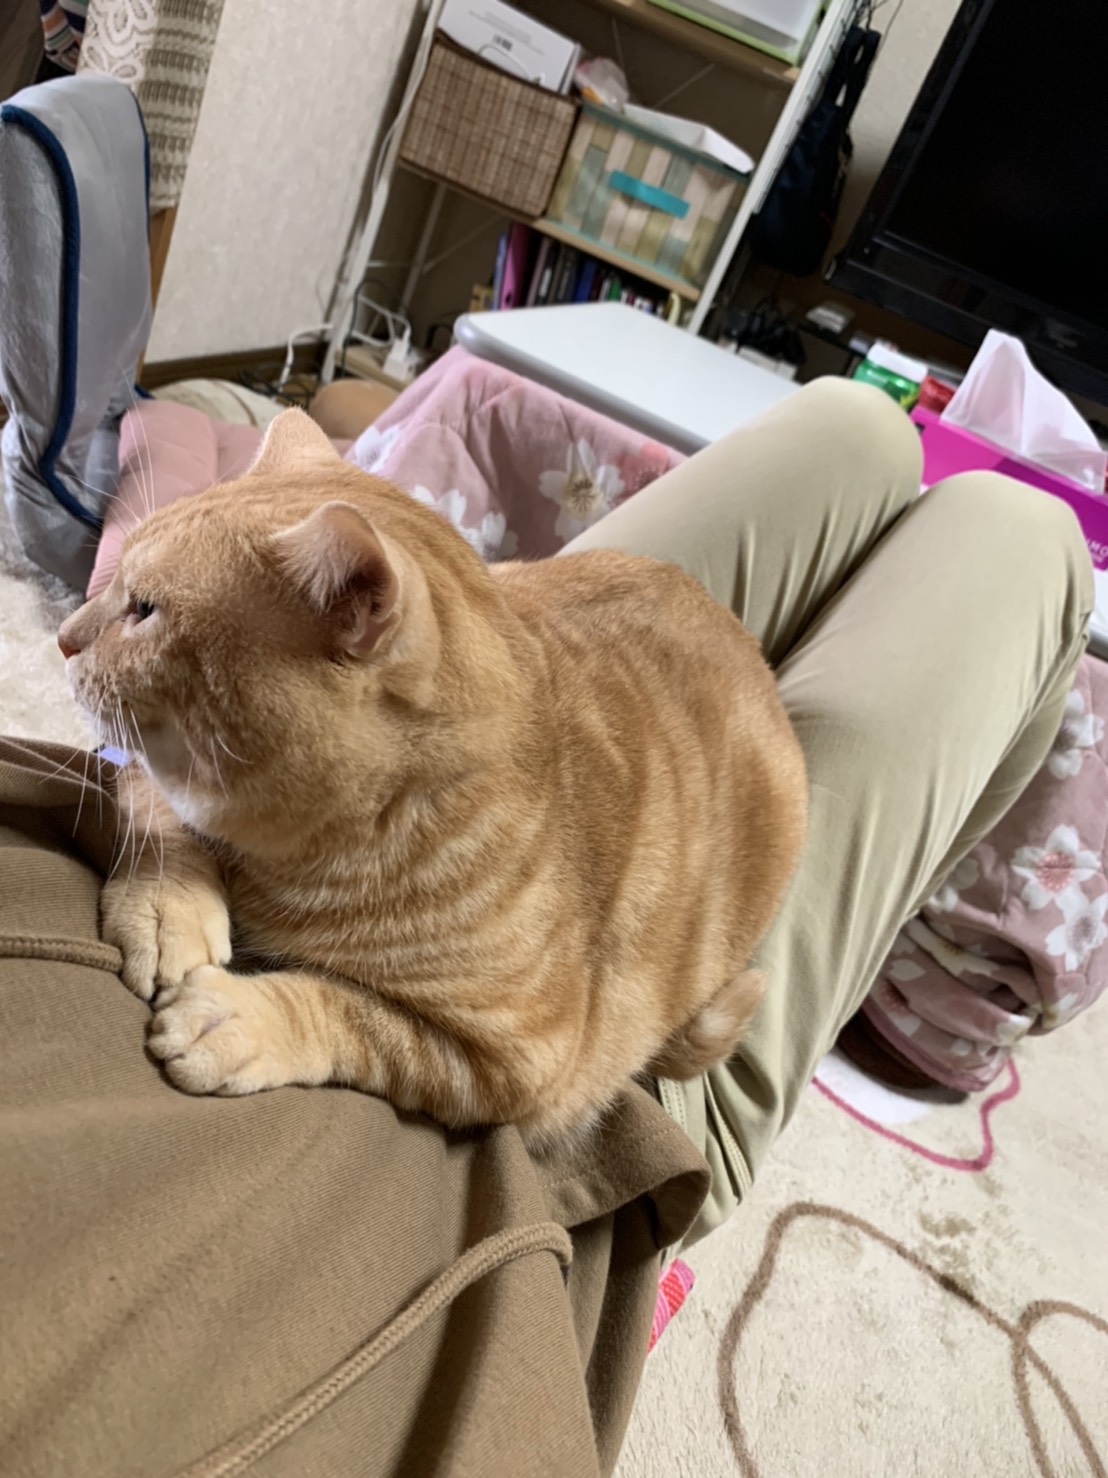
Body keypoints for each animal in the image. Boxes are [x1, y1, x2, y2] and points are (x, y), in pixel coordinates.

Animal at [59, 410, 807, 1145]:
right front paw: (168, 908)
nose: (63, 635)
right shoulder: (145, 763)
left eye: (145, 609)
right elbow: (157, 812)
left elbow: (355, 1016)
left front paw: (242, 1018)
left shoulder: (516, 1062)